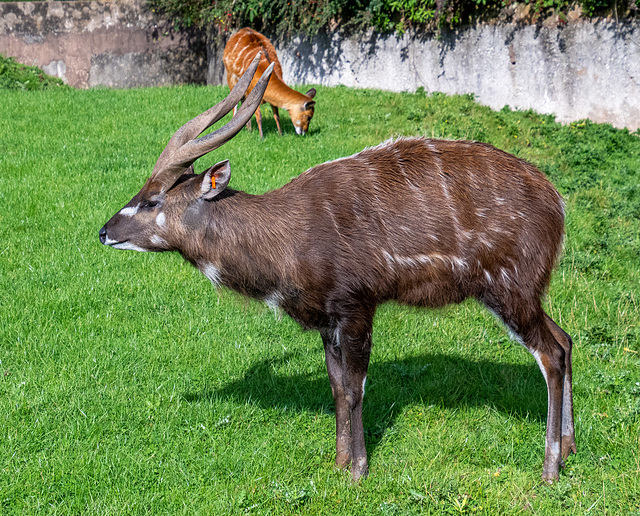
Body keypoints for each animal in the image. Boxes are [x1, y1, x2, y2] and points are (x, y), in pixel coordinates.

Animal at [99, 54, 576, 482]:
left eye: (152, 201)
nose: (103, 231)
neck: (289, 237)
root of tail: (557, 200)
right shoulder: (328, 320)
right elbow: (336, 387)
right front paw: (339, 463)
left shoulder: (357, 306)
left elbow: (355, 386)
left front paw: (358, 472)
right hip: (524, 292)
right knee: (566, 338)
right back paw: (570, 446)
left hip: (509, 288)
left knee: (550, 353)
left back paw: (550, 470)